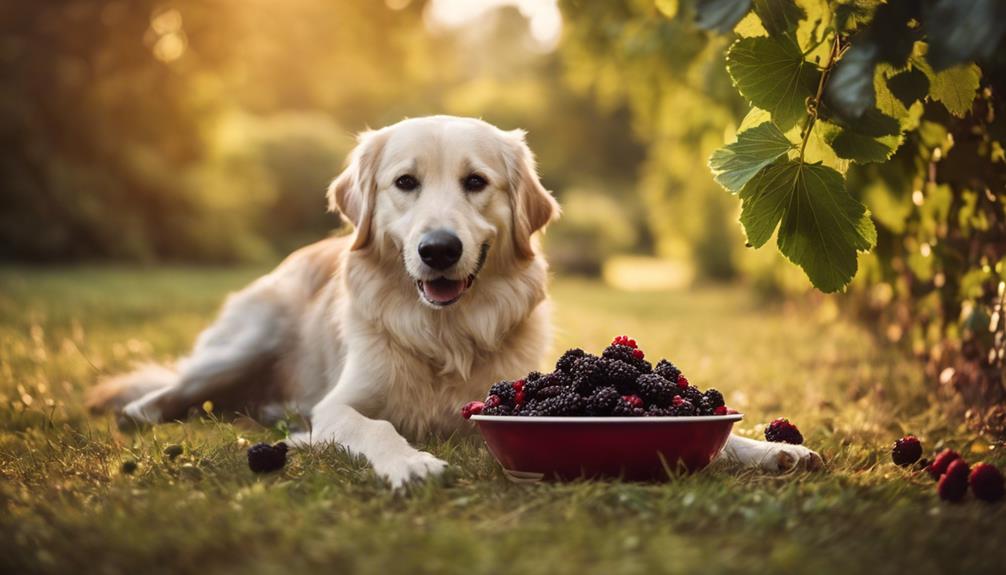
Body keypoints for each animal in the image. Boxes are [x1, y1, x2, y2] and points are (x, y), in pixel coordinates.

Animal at [90, 113, 820, 484]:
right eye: (405, 182)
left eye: (476, 182)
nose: (438, 249)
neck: (446, 331)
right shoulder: (339, 406)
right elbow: (374, 425)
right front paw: (409, 461)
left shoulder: (508, 393)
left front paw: (767, 449)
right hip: (245, 340)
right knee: (169, 389)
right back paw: (144, 415)